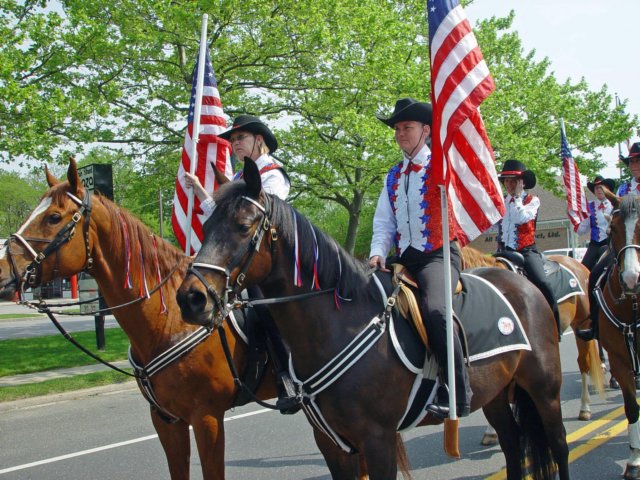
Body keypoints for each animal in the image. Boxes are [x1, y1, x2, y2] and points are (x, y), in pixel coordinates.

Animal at [174, 160, 568, 480]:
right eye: (205, 224)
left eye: (243, 226)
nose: (190, 298)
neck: (337, 326)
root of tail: (523, 284)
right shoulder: (333, 444)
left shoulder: (378, 440)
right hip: (497, 394)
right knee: (512, 444)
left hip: (544, 389)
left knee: (559, 445)